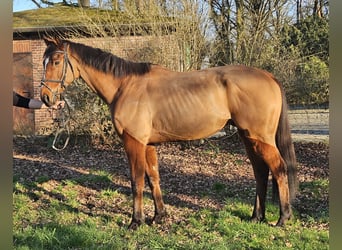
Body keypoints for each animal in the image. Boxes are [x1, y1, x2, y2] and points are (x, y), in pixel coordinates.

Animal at [40, 36, 296, 229]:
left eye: (56, 61)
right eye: (44, 61)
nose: (45, 98)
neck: (125, 86)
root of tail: (269, 76)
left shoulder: (133, 142)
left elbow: (136, 180)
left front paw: (136, 221)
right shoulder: (148, 144)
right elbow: (153, 178)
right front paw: (159, 216)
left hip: (260, 138)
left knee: (279, 169)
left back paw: (283, 218)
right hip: (248, 137)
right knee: (261, 172)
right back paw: (256, 216)